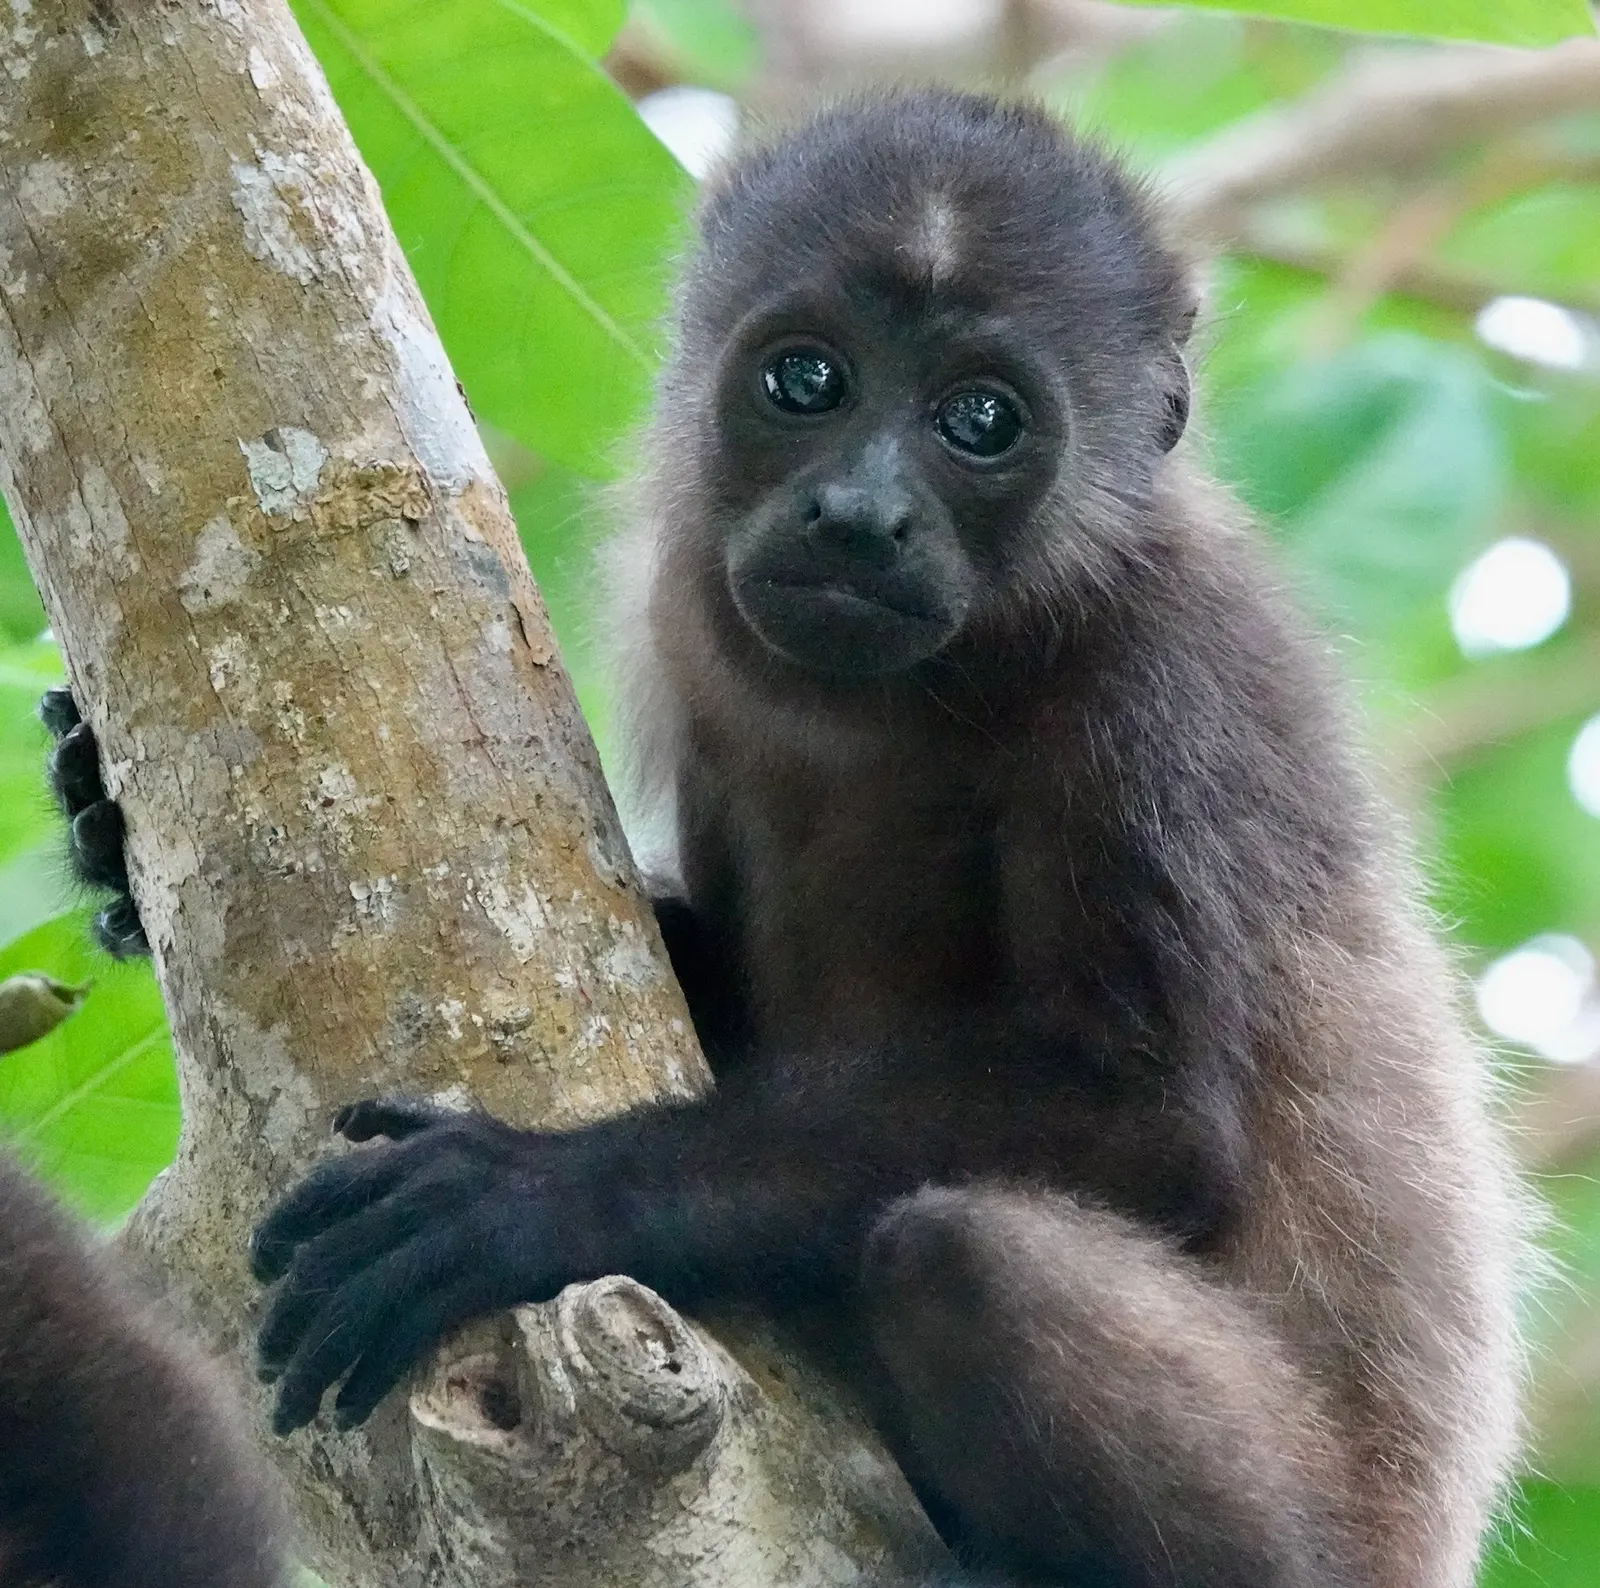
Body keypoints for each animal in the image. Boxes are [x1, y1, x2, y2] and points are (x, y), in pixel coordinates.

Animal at [45, 90, 1526, 1588]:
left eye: (980, 419)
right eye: (806, 381)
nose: (861, 516)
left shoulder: (1175, 675)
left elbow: (1154, 1116)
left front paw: (543, 1198)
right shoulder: (691, 632)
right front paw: (103, 828)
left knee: (959, 1261)